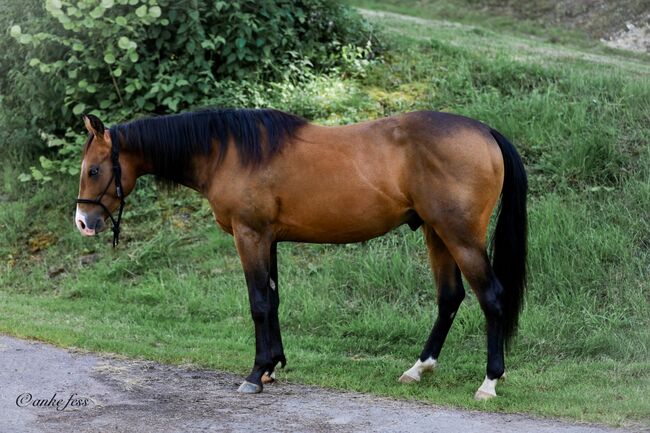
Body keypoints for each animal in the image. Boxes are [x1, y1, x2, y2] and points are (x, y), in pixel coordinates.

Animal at [73, 109, 524, 400]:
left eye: (94, 170)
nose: (82, 222)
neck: (227, 151)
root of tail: (485, 131)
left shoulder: (250, 236)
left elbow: (257, 303)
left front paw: (256, 373)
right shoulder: (268, 239)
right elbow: (272, 300)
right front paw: (273, 365)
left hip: (459, 237)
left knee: (491, 298)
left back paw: (489, 382)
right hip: (436, 234)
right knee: (450, 298)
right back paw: (419, 368)